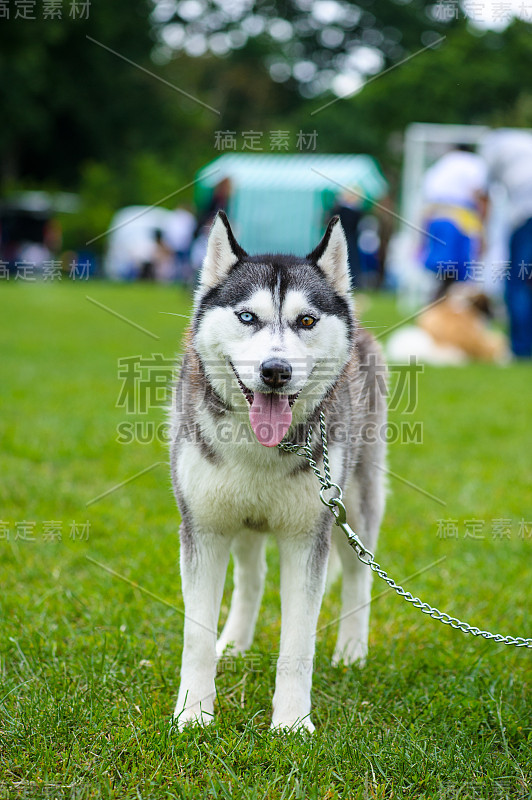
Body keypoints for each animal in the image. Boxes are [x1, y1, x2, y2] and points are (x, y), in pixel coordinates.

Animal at [170, 211, 386, 732]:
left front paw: (291, 724)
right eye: (248, 317)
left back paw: (352, 650)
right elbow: (196, 636)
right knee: (252, 577)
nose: (275, 370)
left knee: (358, 574)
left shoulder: (309, 536)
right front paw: (193, 714)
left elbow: (298, 643)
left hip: (356, 505)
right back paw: (235, 643)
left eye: (306, 320)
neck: (259, 447)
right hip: (243, 520)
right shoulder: (203, 529)